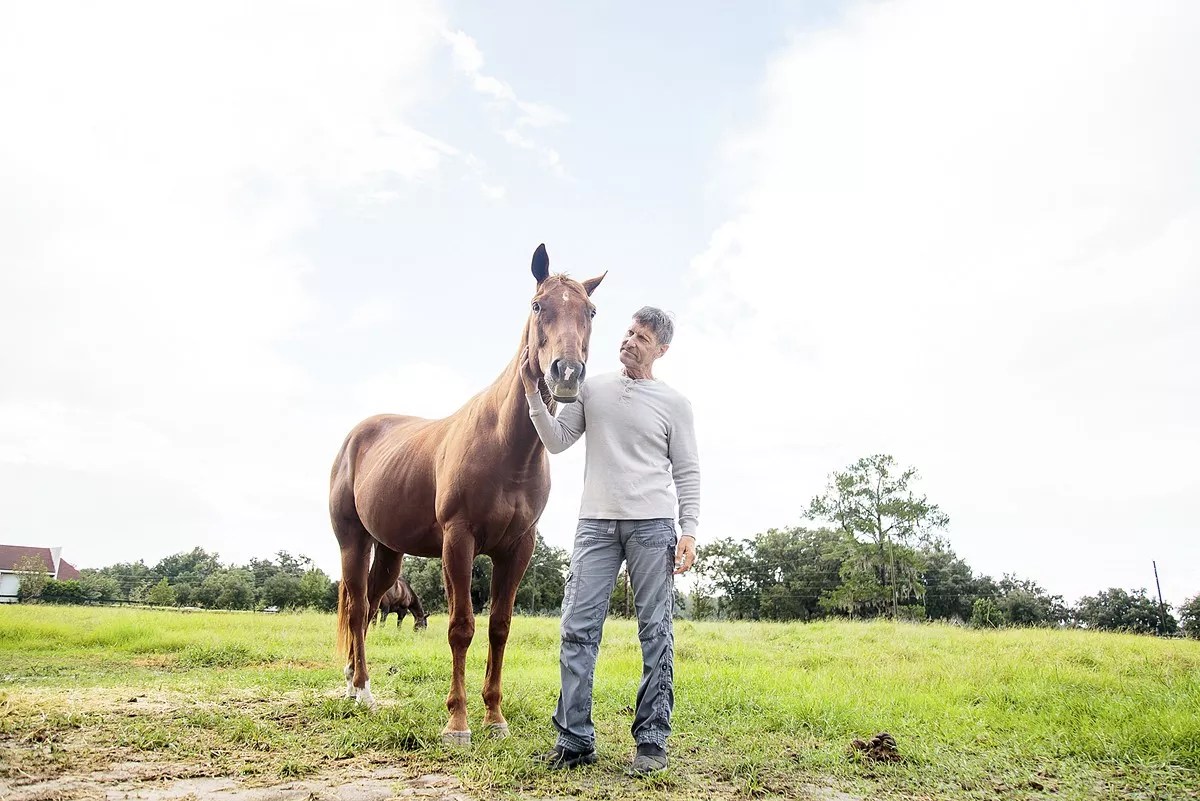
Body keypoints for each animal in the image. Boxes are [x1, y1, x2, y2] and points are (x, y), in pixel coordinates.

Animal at [329, 243, 605, 745]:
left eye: (590, 311)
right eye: (538, 306)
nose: (567, 372)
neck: (505, 446)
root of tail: (355, 437)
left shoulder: (518, 548)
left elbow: (499, 627)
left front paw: (494, 718)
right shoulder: (458, 541)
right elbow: (461, 627)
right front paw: (457, 723)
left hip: (389, 552)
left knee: (370, 607)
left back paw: (352, 679)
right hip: (352, 541)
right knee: (358, 609)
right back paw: (361, 691)